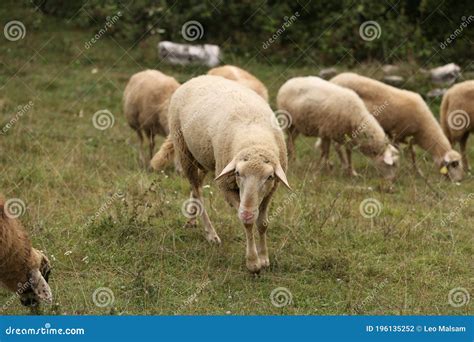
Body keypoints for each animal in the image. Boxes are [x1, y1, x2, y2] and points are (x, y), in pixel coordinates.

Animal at [152, 76, 292, 274]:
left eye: (269, 177)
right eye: (238, 173)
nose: (248, 213)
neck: (253, 137)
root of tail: (197, 77)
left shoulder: (270, 191)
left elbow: (263, 223)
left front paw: (264, 258)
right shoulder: (226, 185)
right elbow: (248, 224)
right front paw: (253, 262)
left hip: (203, 157)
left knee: (197, 185)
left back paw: (191, 219)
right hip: (185, 151)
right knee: (197, 190)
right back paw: (211, 234)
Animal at [330, 72, 462, 182]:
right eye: (455, 164)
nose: (458, 181)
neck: (423, 130)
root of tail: (334, 79)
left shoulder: (405, 136)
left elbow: (412, 152)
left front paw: (417, 172)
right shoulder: (396, 134)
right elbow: (401, 152)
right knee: (338, 146)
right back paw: (347, 169)